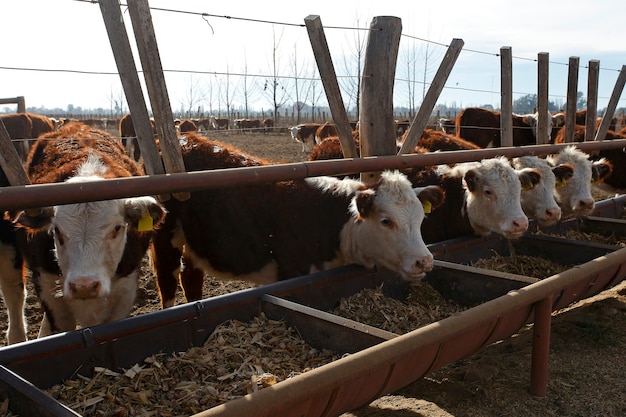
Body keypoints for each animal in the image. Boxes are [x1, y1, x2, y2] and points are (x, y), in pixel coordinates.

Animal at [150, 132, 444, 308]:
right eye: (386, 221)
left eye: (421, 219)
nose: (424, 261)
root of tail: (186, 137)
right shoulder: (291, 275)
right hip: (164, 237)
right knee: (167, 279)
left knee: (191, 276)